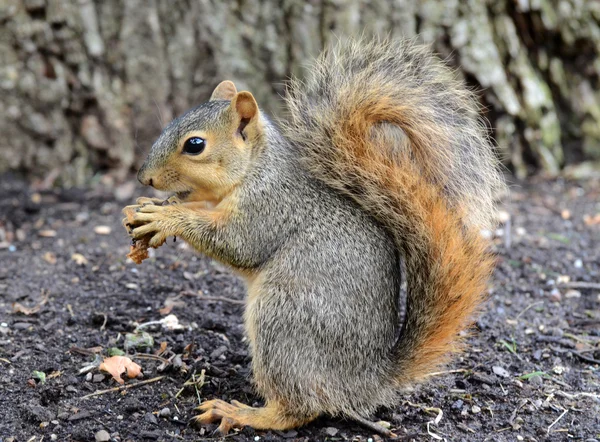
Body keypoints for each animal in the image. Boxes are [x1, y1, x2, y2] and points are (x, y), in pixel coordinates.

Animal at [122, 38, 506, 436]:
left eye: (195, 145)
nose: (144, 178)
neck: (255, 169)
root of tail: (367, 381)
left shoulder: (271, 208)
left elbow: (237, 244)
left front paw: (166, 217)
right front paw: (147, 208)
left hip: (284, 320)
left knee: (298, 408)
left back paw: (241, 413)